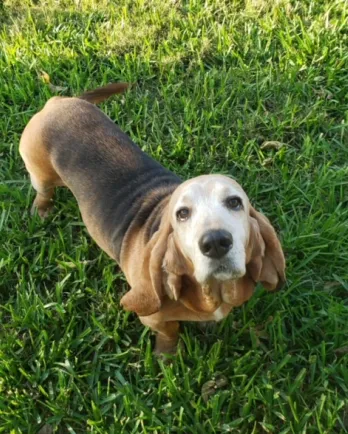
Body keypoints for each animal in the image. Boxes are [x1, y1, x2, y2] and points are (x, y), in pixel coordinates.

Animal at [19, 83, 286, 354]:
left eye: (234, 202)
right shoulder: (153, 319)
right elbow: (170, 332)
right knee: (44, 191)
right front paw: (166, 356)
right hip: (40, 174)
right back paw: (42, 209)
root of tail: (57, 102)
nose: (215, 243)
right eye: (182, 214)